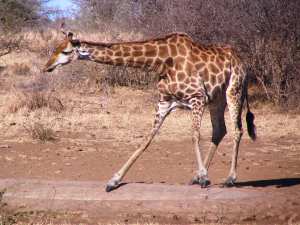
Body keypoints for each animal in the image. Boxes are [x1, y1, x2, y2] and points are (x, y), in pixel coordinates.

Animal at [44, 30, 255, 192]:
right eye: (54, 49)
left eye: (65, 51)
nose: (47, 67)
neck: (161, 62)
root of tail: (243, 63)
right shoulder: (164, 102)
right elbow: (146, 140)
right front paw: (114, 180)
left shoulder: (197, 96)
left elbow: (194, 135)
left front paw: (204, 177)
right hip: (216, 100)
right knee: (220, 130)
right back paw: (197, 177)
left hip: (233, 91)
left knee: (237, 130)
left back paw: (229, 179)